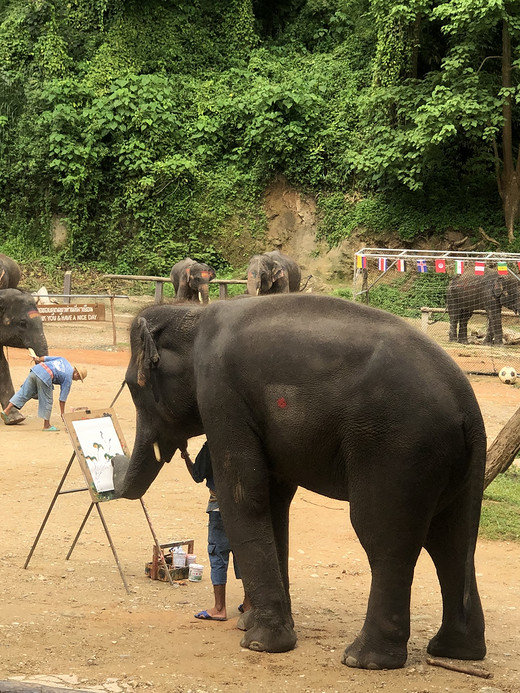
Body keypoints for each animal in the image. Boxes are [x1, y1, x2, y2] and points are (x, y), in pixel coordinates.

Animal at [110, 294, 488, 672]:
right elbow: (275, 502)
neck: (193, 314)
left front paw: (260, 643)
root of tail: (468, 408)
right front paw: (252, 625)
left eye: (133, 387)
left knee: (385, 538)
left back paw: (363, 659)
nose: (112, 457)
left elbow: (246, 496)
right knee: (450, 541)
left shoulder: (221, 393)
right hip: (450, 463)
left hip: (398, 448)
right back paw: (455, 651)